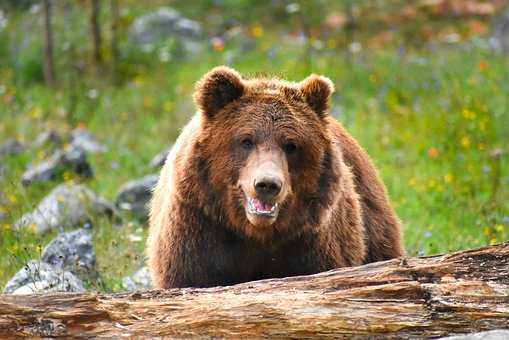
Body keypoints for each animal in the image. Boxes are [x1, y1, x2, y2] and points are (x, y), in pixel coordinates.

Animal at [146, 65, 400, 288]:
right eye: (246, 140)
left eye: (291, 145)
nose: (267, 184)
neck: (256, 233)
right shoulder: (199, 228)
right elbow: (192, 276)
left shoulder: (311, 241)